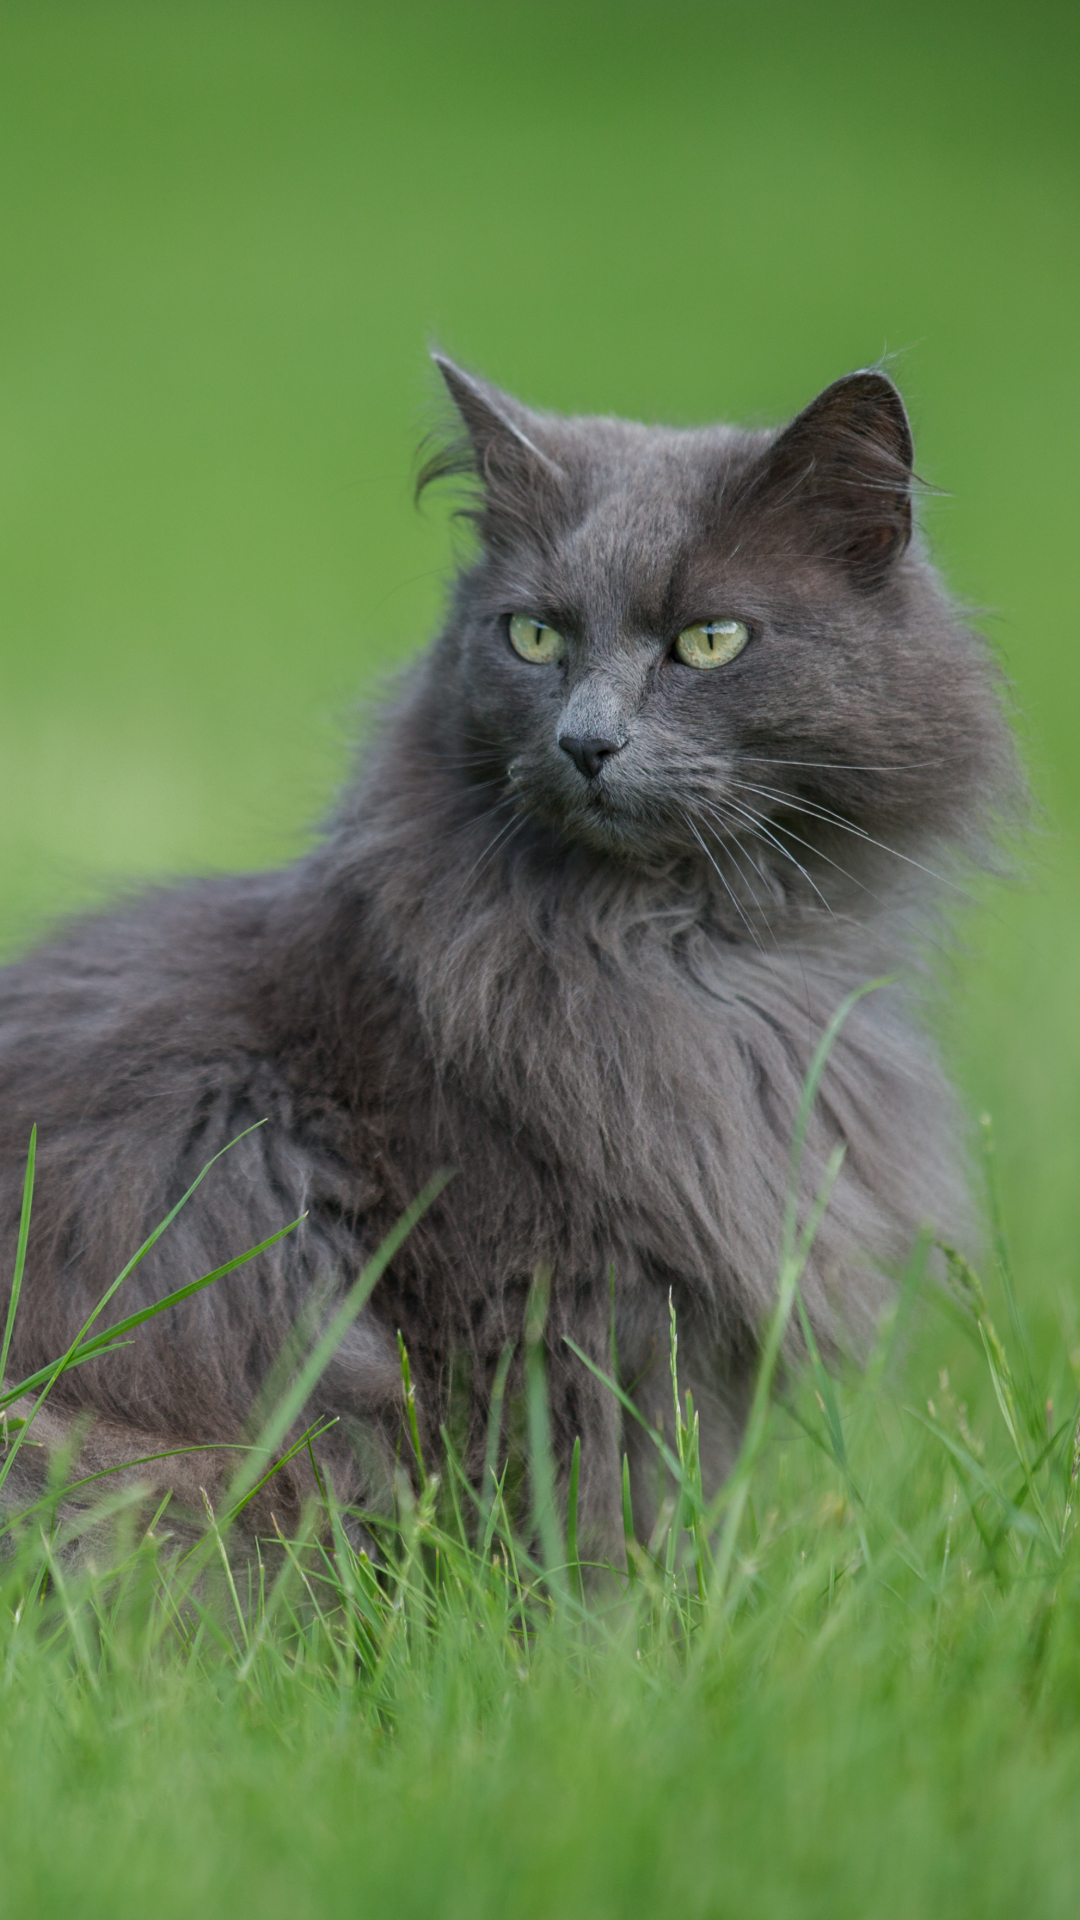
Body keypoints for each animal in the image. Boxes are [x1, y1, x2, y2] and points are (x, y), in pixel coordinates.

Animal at [0, 360, 1014, 1559]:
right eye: (533, 638)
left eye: (711, 640)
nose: (586, 741)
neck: (689, 955)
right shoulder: (532, 1295)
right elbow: (577, 1510)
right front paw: (607, 1614)